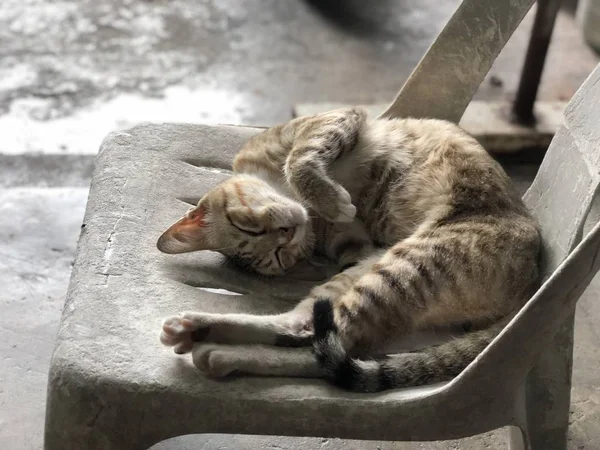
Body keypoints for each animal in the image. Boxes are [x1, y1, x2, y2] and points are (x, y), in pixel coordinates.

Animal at [155, 107, 540, 392]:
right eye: (276, 258)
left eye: (244, 224)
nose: (286, 234)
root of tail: (532, 285)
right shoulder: (359, 248)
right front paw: (336, 204)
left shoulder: (334, 120)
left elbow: (299, 160)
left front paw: (331, 199)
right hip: (388, 270)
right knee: (313, 336)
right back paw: (198, 331)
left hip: (401, 266)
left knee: (316, 341)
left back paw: (212, 345)